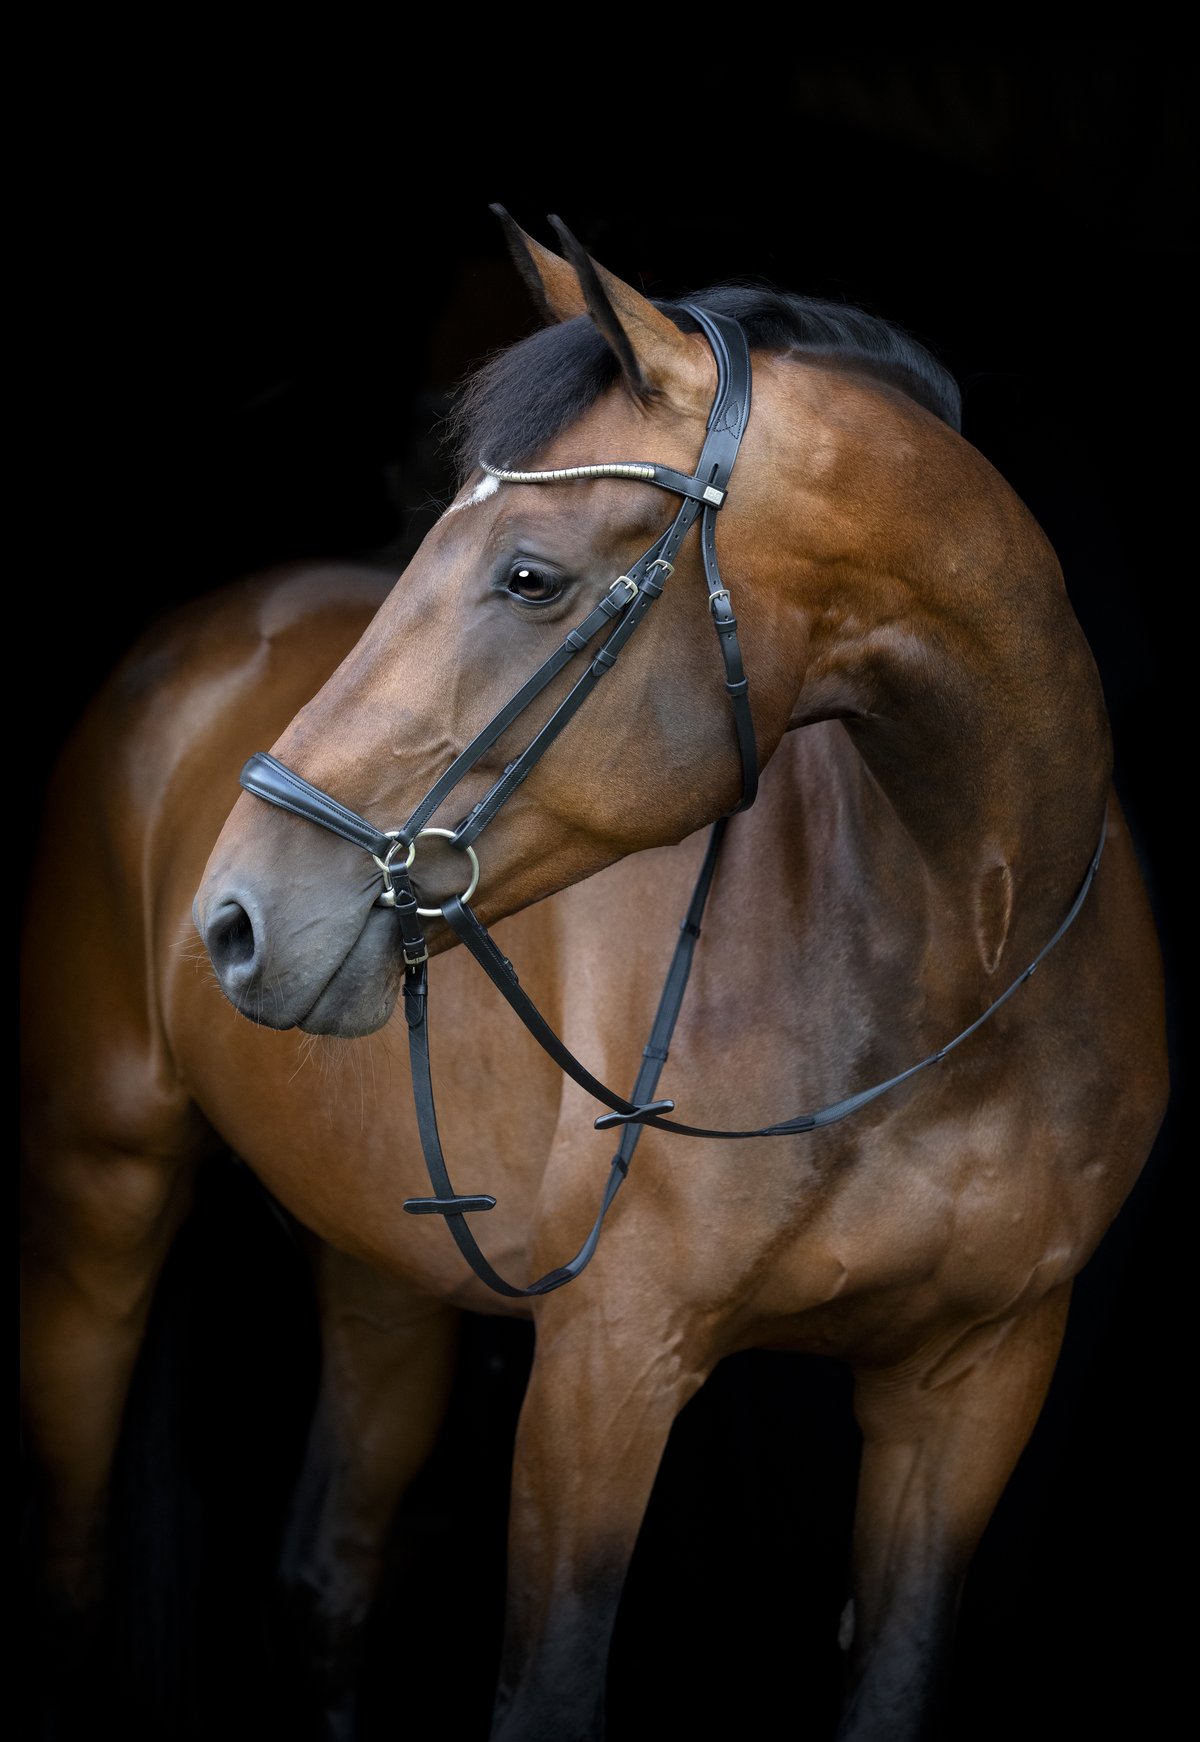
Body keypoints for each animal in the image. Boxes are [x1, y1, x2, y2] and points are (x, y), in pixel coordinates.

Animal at [21, 207, 1168, 1740]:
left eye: (530, 574)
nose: (237, 917)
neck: (951, 956)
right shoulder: (605, 1371)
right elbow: (550, 1691)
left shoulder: (971, 1388)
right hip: (98, 1193)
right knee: (73, 1568)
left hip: (380, 1265)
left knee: (323, 1579)